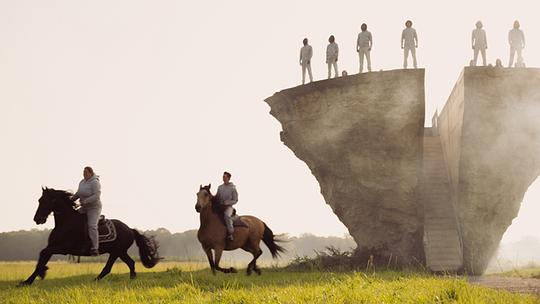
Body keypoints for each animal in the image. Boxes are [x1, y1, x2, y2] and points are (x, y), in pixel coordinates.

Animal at [17, 186, 160, 286]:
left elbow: (43, 255)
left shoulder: (63, 248)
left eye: (46, 200)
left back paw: (95, 280)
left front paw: (40, 273)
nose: (37, 219)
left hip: (116, 252)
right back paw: (131, 279)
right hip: (120, 252)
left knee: (108, 268)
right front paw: (28, 281)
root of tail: (130, 229)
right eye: (39, 200)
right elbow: (42, 256)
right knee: (130, 263)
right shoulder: (52, 246)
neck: (66, 222)